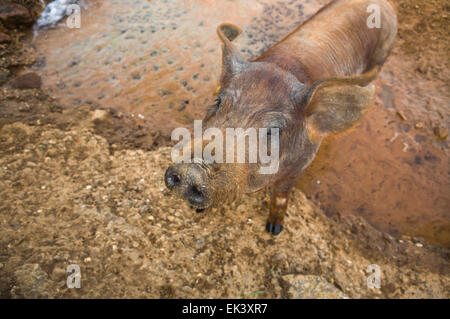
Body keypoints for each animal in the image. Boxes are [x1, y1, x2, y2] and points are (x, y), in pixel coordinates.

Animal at [165, 0, 398, 235]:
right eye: (218, 102)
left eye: (274, 130)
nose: (191, 170)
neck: (284, 66)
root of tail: (386, 5)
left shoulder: (298, 167)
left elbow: (281, 195)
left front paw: (273, 230)